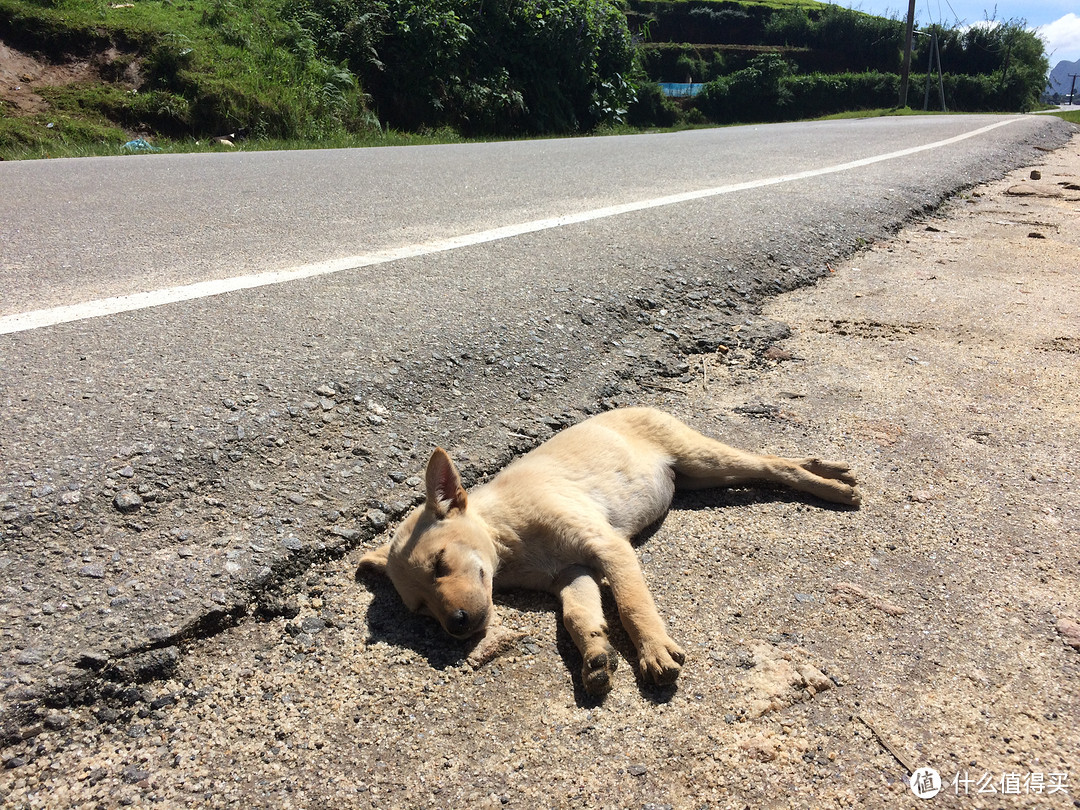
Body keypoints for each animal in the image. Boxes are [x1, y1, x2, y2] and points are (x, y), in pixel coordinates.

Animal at [360, 408, 859, 695]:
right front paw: (596, 652)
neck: (508, 534)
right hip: (700, 478)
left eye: (441, 563)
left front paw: (653, 651)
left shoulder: (608, 547)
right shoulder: (572, 574)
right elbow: (578, 616)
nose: (458, 627)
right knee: (772, 463)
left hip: (701, 458)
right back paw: (828, 469)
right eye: (422, 611)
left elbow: (633, 606)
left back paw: (830, 488)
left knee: (771, 465)